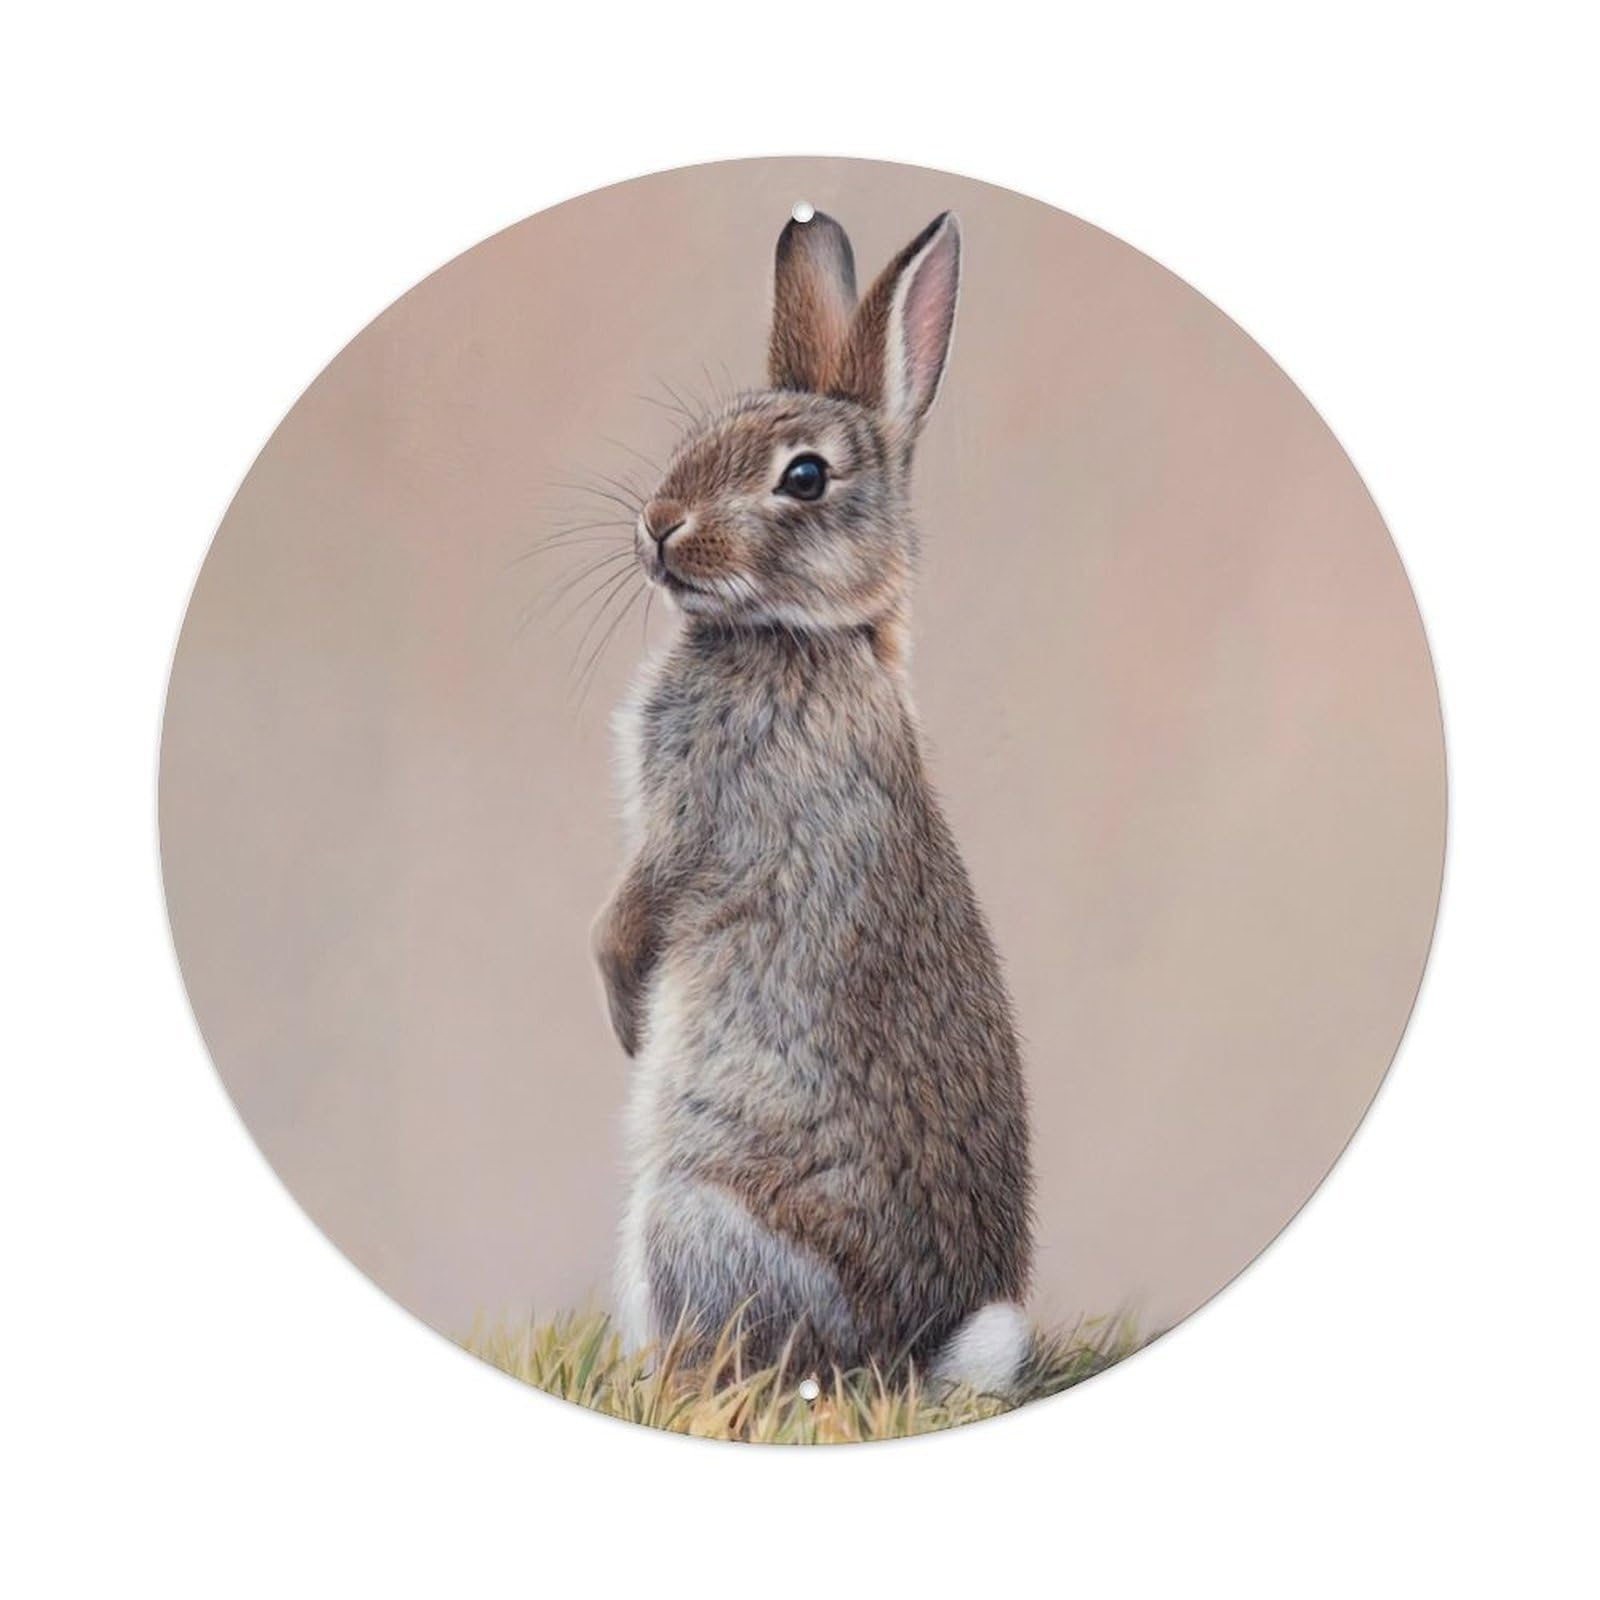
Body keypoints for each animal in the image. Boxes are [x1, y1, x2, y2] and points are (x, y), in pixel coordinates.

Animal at [593, 208, 1034, 1392]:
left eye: (803, 477)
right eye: (706, 431)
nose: (659, 523)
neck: (801, 636)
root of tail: (908, 1357)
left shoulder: (700, 822)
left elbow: (629, 917)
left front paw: (625, 1021)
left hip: (688, 1220)